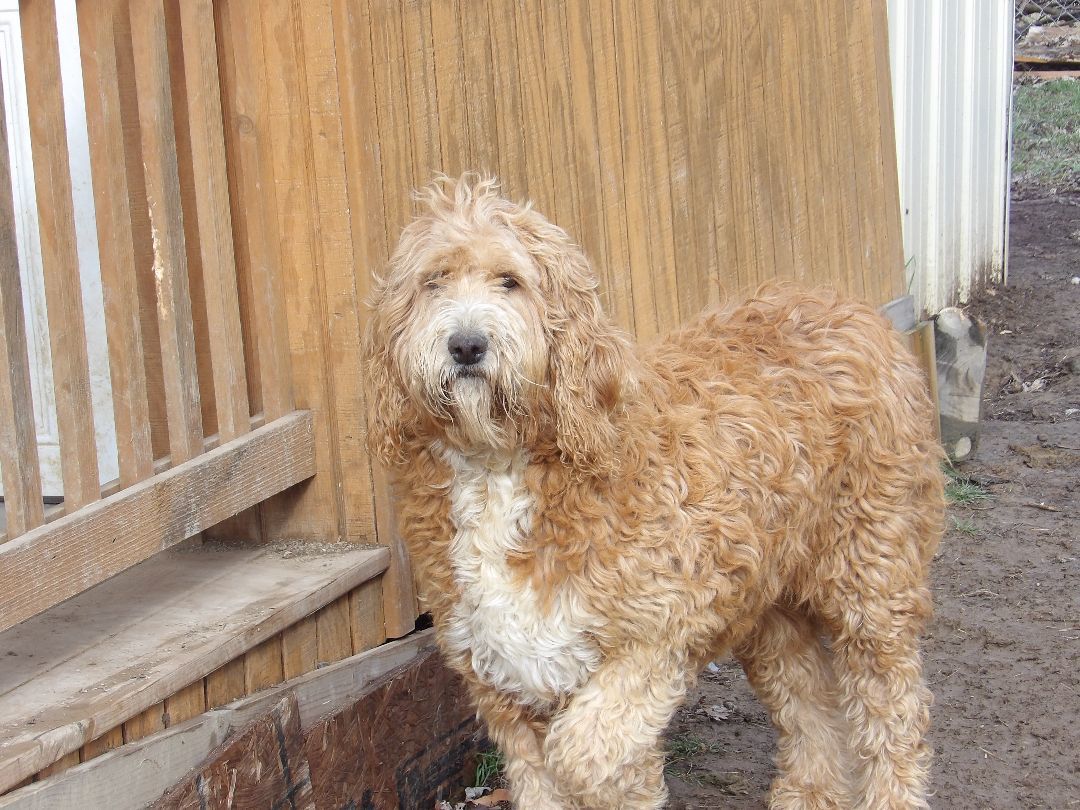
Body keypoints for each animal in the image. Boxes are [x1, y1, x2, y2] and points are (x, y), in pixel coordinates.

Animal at [365, 174, 946, 807]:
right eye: (433, 282)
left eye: (510, 281)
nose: (467, 345)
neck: (502, 463)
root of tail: (854, 309)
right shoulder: (502, 680)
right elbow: (543, 776)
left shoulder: (661, 626)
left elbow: (587, 755)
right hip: (769, 603)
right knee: (809, 702)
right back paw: (806, 793)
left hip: (872, 575)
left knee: (895, 708)